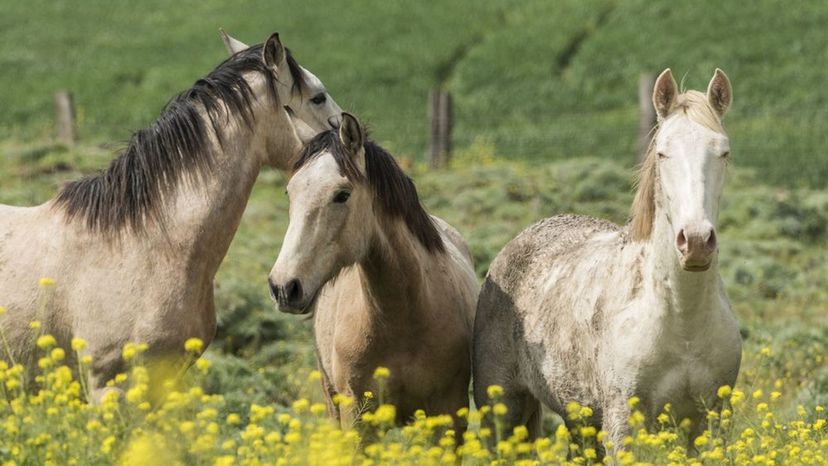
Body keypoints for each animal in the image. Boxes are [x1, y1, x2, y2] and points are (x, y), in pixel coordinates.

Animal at [268, 114, 478, 436]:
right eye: (290, 192)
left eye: (342, 195)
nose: (283, 286)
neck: (406, 316)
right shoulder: (358, 416)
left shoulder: (450, 413)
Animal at [472, 69, 744, 452]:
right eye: (663, 153)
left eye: (723, 152)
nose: (695, 242)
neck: (681, 320)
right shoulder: (623, 422)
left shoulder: (710, 421)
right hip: (501, 409)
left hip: (579, 419)